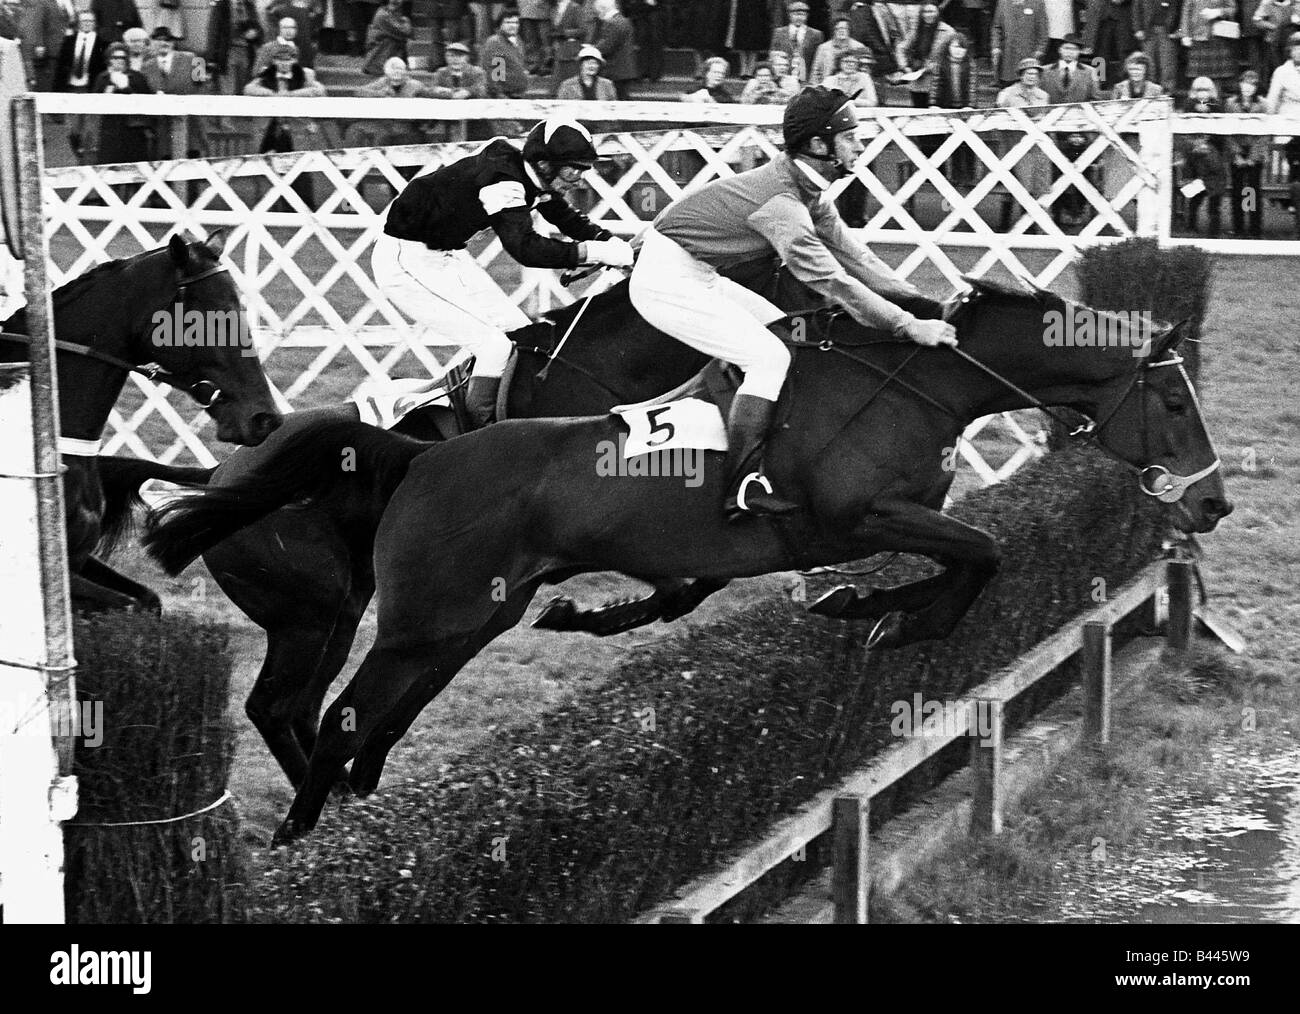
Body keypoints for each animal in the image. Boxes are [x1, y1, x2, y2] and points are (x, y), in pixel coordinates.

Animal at [147, 275, 1232, 837]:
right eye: (1175, 402)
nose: (1213, 500)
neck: (912, 384)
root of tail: (418, 452)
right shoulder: (859, 514)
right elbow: (983, 552)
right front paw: (886, 619)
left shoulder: (866, 525)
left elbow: (965, 557)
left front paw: (863, 611)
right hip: (405, 617)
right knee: (333, 715)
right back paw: (303, 828)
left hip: (464, 618)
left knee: (367, 718)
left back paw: (349, 800)